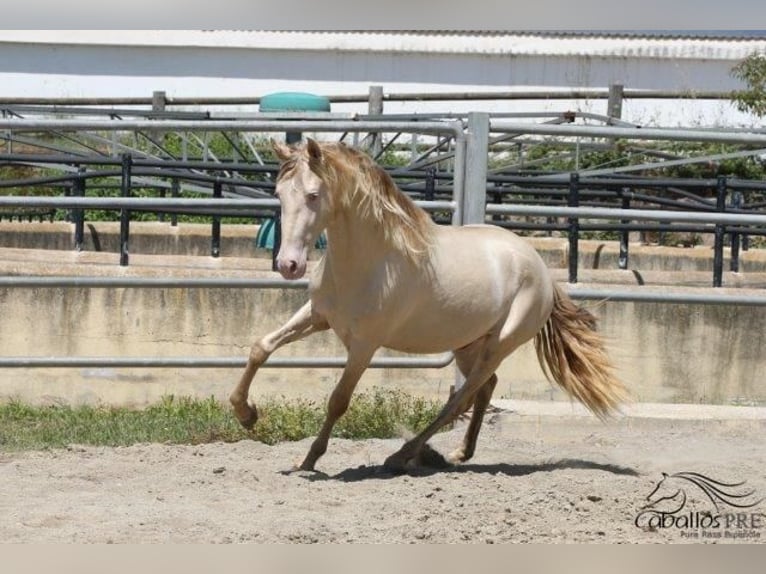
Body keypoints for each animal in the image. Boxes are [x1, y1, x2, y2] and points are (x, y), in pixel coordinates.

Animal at [230, 138, 632, 472]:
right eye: (280, 193)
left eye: (313, 195)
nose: (288, 265)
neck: (369, 262)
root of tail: (540, 267)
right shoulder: (318, 316)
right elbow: (260, 347)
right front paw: (246, 413)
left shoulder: (364, 345)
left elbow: (338, 400)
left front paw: (309, 459)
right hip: (468, 343)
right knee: (484, 388)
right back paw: (460, 453)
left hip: (501, 344)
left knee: (461, 398)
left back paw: (404, 455)